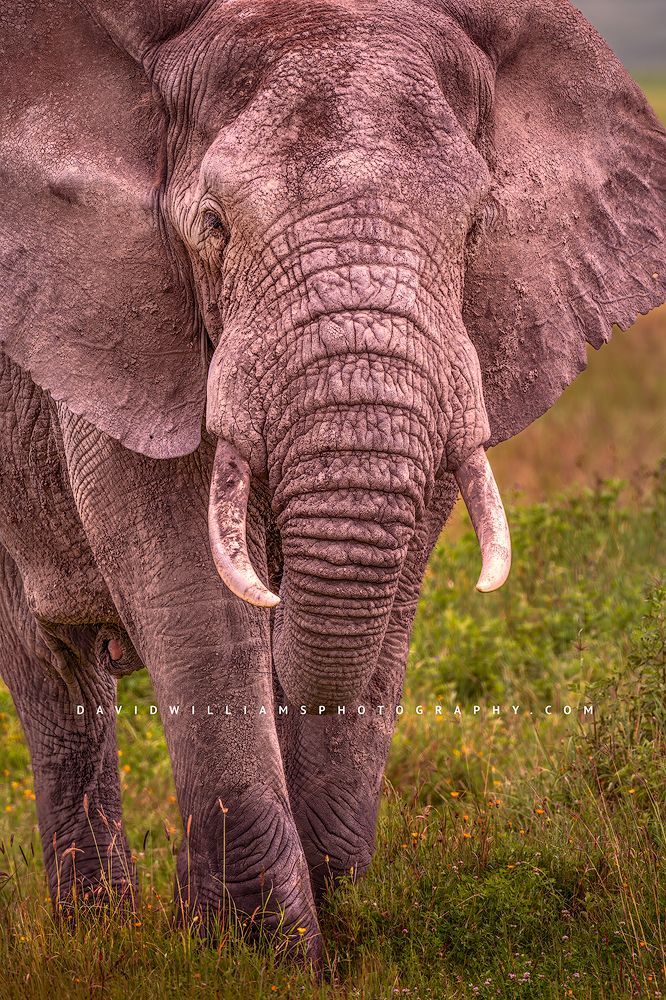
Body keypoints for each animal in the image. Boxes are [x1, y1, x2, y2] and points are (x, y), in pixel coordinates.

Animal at [0, 0, 664, 964]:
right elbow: (192, 587)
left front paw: (341, 929)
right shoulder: (114, 313)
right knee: (57, 678)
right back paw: (97, 938)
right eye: (213, 225)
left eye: (475, 230)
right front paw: (253, 953)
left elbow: (386, 612)